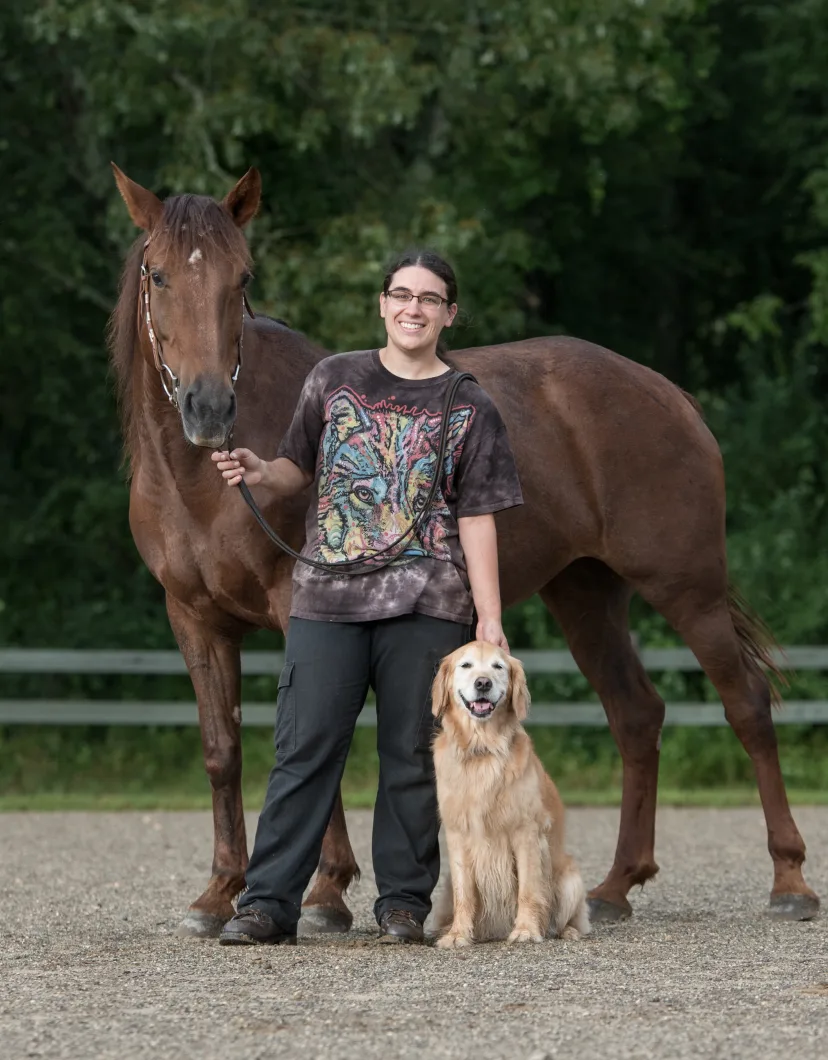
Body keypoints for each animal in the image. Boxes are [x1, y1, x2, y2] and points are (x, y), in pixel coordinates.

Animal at [432, 640, 589, 949]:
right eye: (466, 665)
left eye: (498, 666)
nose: (483, 683)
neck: (482, 749)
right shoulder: (457, 835)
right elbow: (464, 893)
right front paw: (457, 934)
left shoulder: (526, 833)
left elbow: (528, 889)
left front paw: (526, 929)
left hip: (570, 880)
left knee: (568, 919)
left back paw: (567, 931)